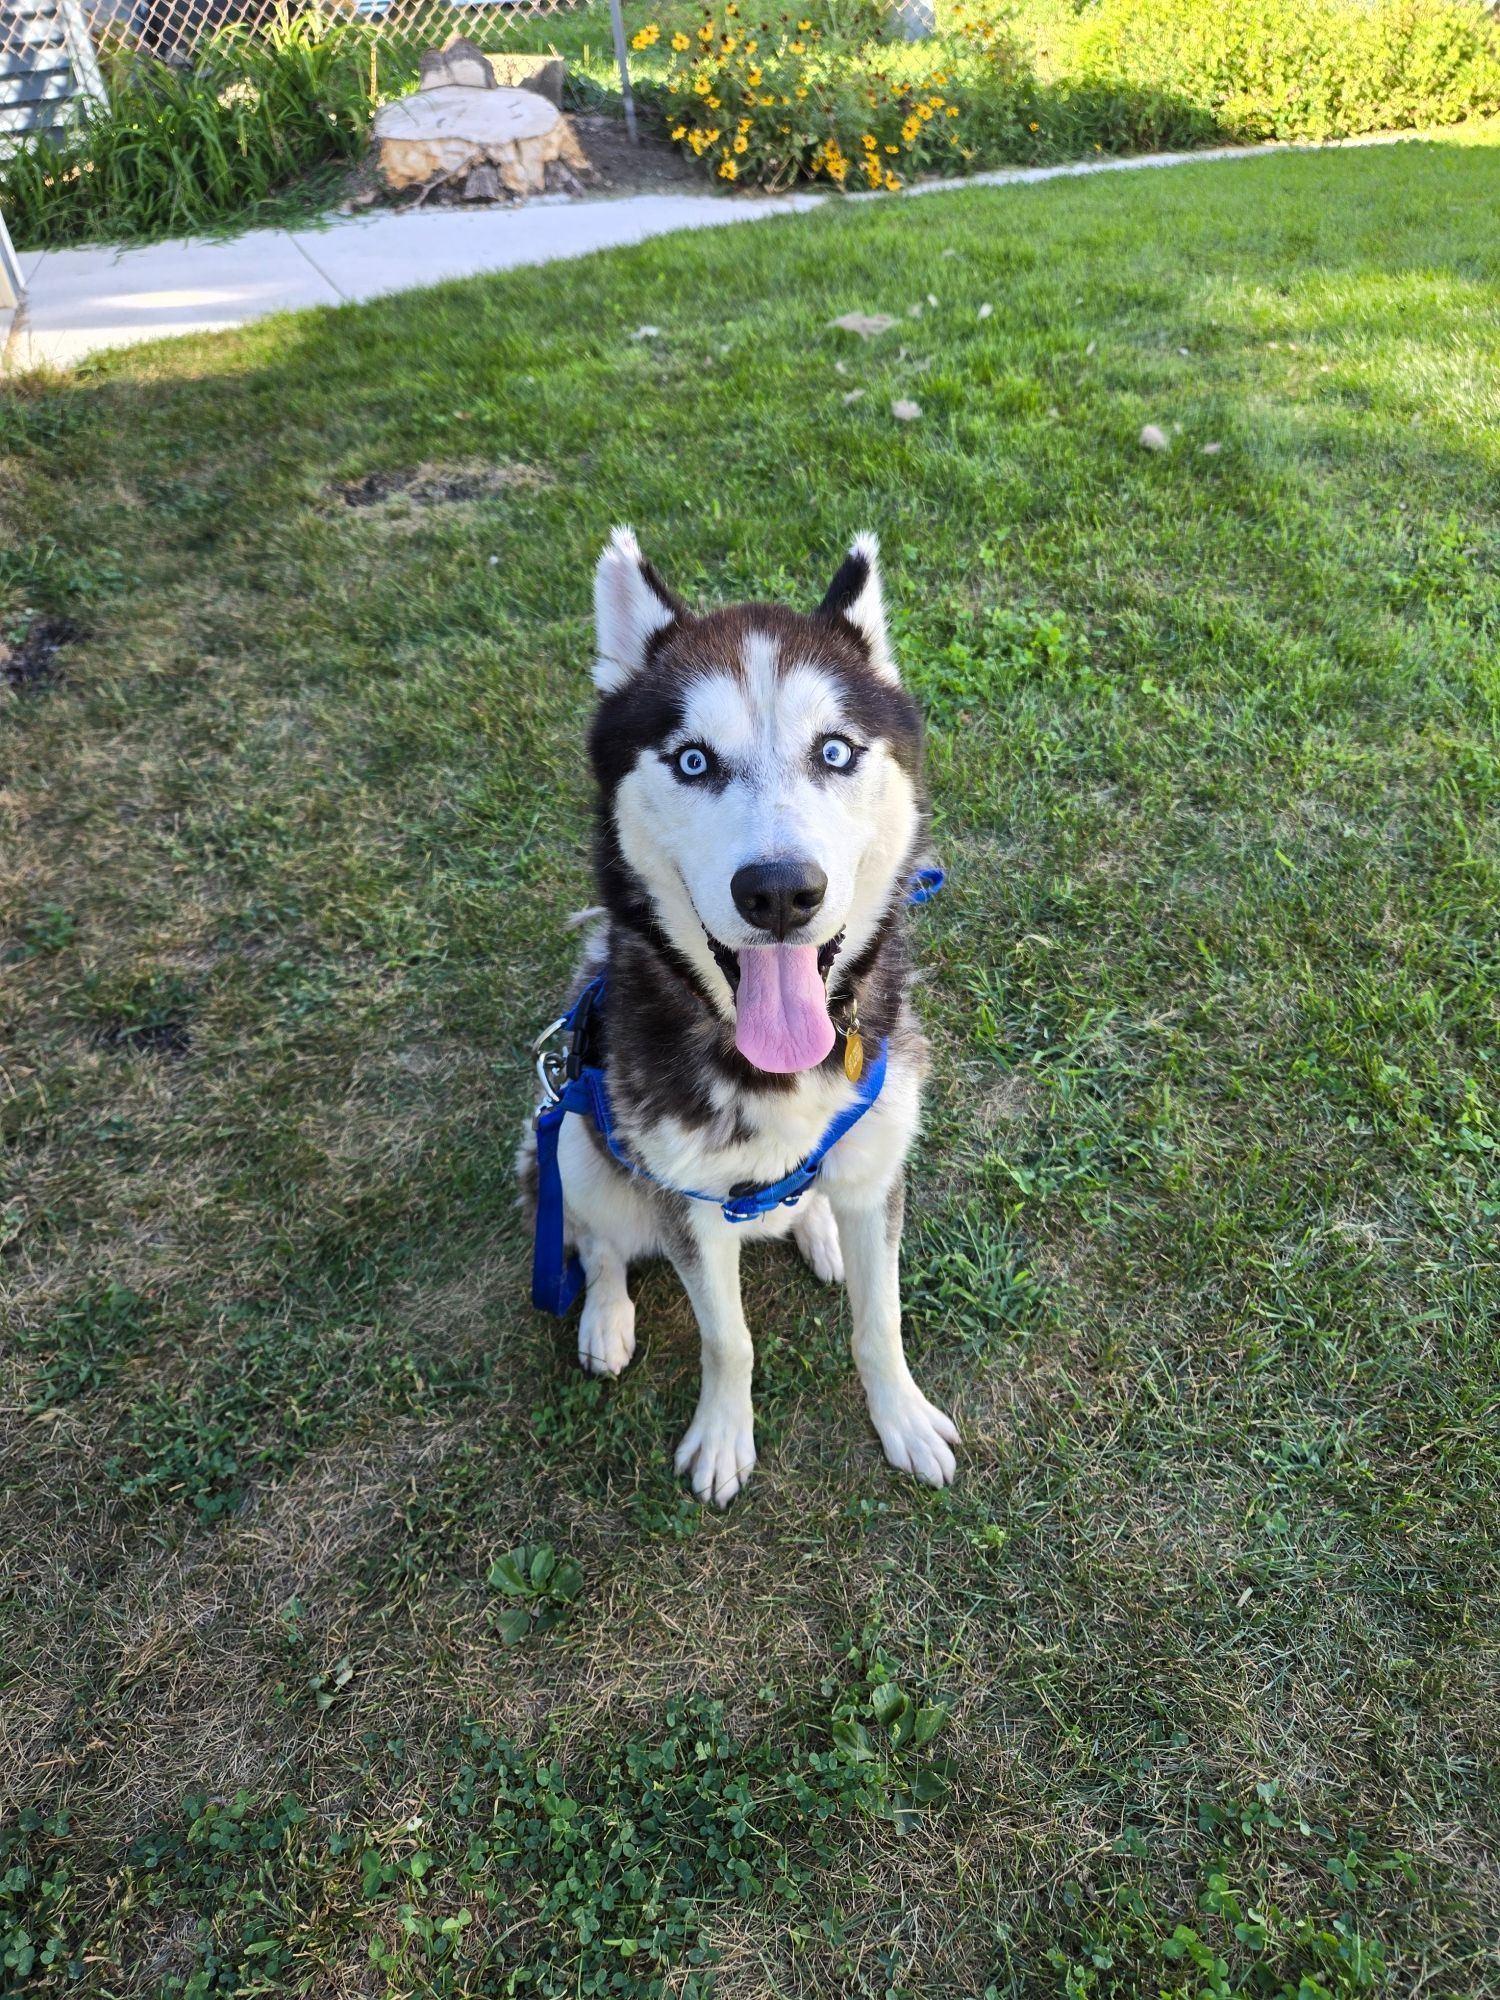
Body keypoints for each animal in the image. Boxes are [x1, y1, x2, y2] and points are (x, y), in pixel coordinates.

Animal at [524, 528, 956, 1504]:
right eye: (693, 760)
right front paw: (724, 1436)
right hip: (571, 1135)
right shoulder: (684, 1201)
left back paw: (818, 1229)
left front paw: (902, 1417)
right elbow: (729, 1340)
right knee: (597, 1240)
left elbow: (880, 1322)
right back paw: (604, 1317)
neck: (776, 1067)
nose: (780, 892)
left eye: (834, 752)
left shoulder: (880, 1168)